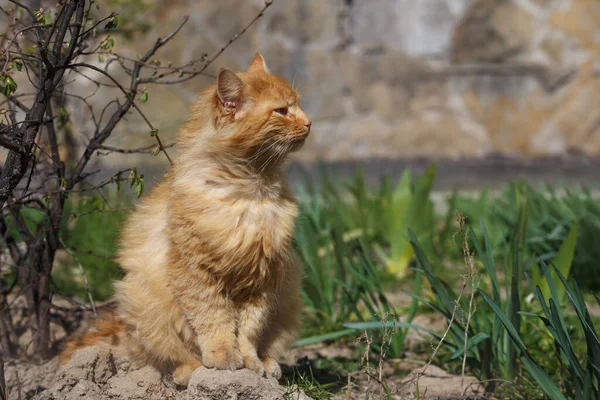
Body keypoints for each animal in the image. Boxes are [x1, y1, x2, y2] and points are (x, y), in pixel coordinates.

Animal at [62, 54, 310, 386]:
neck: (250, 191)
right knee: (176, 357)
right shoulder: (196, 274)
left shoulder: (263, 279)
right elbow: (214, 322)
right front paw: (222, 357)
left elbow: (248, 332)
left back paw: (269, 365)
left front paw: (251, 362)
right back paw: (189, 372)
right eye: (282, 111)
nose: (309, 122)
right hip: (143, 304)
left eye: (298, 105)